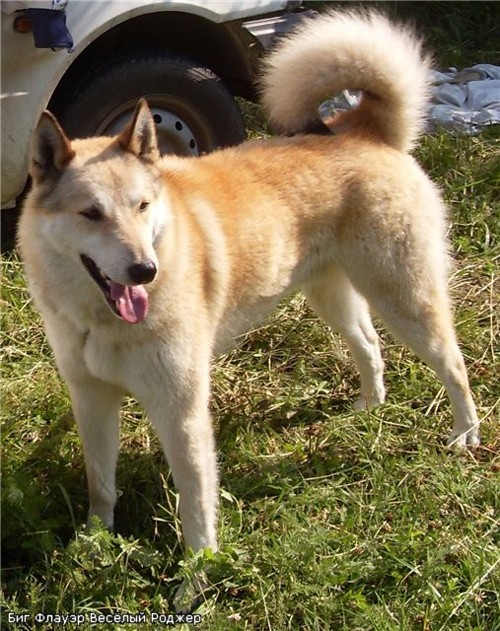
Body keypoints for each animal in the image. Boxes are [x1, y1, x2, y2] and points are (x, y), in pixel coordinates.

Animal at [19, 10, 479, 558]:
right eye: (91, 214)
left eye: (143, 206)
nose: (146, 271)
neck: (102, 321)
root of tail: (362, 130)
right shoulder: (92, 399)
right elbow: (100, 483)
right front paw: (94, 542)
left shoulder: (180, 409)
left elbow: (195, 502)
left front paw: (198, 570)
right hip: (333, 296)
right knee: (369, 345)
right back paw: (369, 407)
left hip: (404, 298)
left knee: (453, 364)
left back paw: (465, 434)